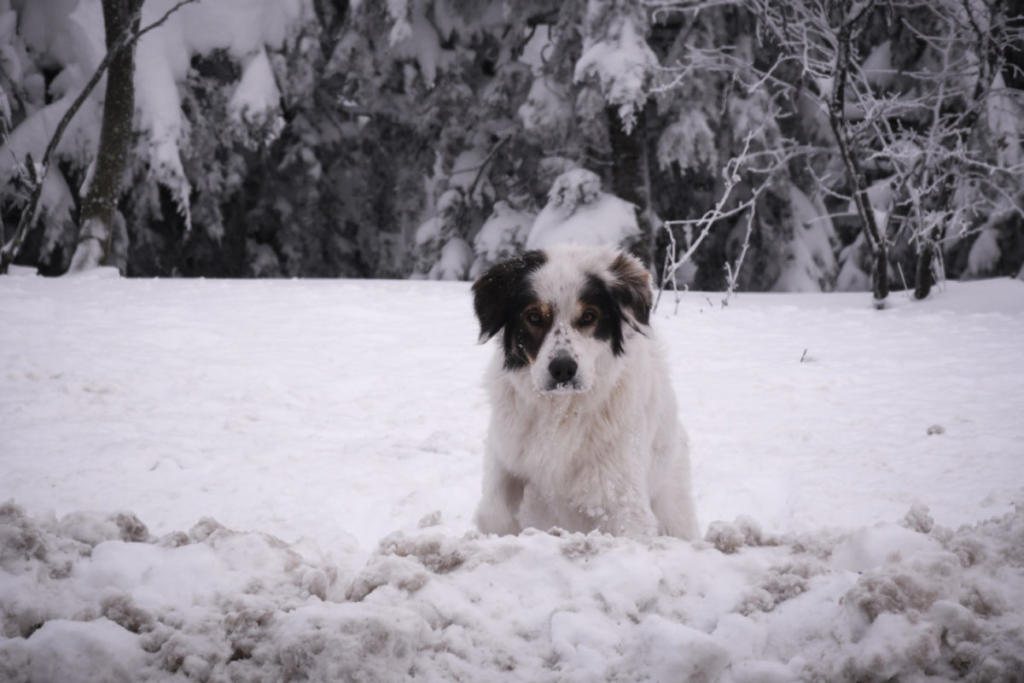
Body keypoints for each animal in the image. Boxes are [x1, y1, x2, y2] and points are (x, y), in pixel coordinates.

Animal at [468, 245, 696, 540]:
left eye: (589, 316)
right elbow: (493, 511)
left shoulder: (624, 498)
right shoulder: (506, 454)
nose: (563, 369)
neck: (562, 412)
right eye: (533, 317)